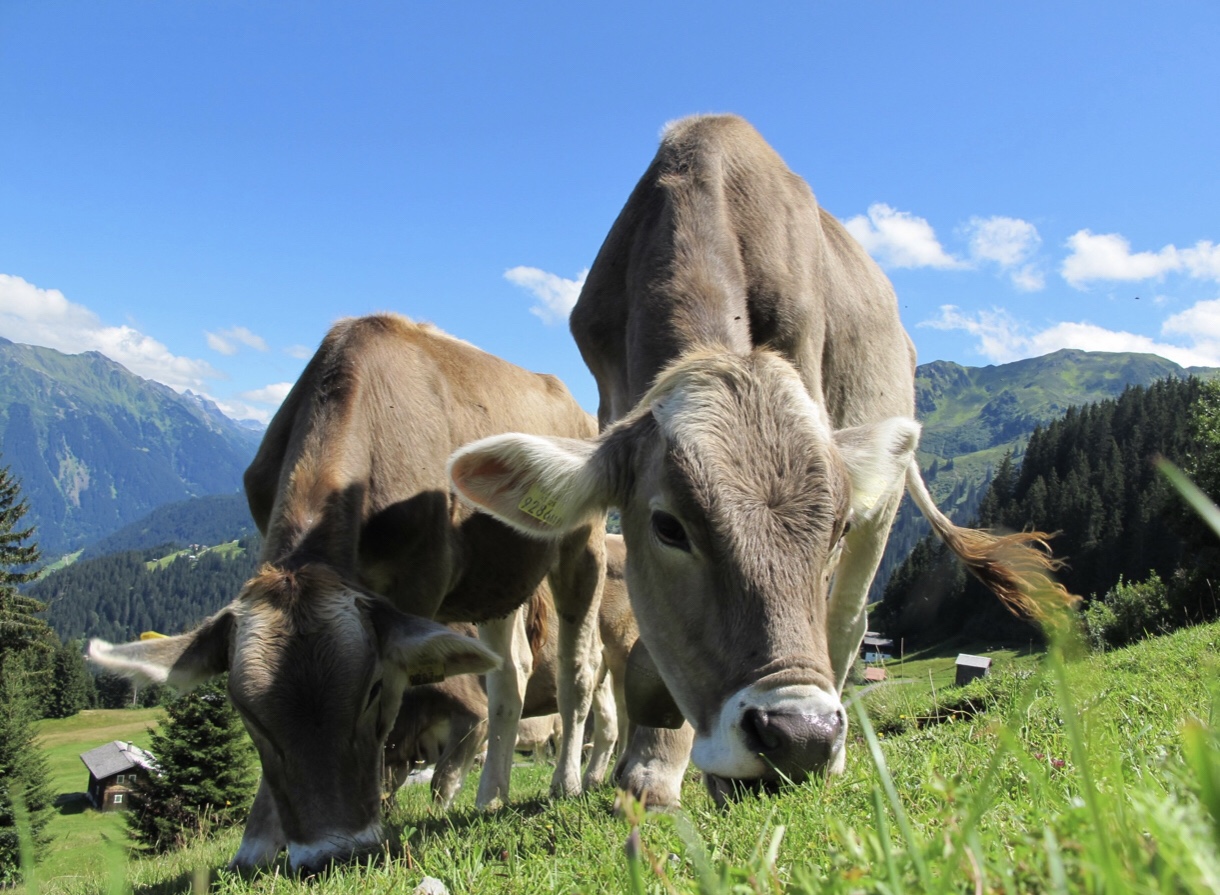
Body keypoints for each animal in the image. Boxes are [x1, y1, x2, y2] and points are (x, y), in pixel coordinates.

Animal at [88, 313, 606, 871]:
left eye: (372, 691)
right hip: (496, 580)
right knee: (510, 675)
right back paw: (491, 795)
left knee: (578, 670)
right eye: (246, 712)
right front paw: (257, 844)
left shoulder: (417, 587)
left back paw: (566, 783)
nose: (331, 854)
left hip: (582, 543)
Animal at [385, 534, 636, 806]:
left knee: (625, 712)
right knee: (608, 722)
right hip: (601, 674)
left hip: (623, 649)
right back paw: (593, 778)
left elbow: (443, 778)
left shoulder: (472, 714)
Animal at [448, 114, 1070, 807]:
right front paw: (651, 769)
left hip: (883, 506)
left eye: (835, 527)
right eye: (668, 527)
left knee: (848, 620)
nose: (801, 736)